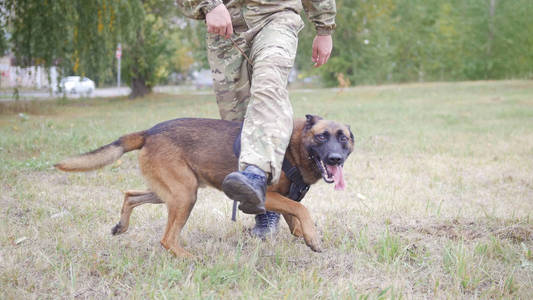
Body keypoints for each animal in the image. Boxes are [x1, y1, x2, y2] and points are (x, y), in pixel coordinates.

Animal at [56, 115, 354, 258]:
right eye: (322, 137)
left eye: (343, 138)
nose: (335, 159)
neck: (295, 146)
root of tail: (149, 132)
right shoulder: (267, 195)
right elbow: (300, 210)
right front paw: (312, 237)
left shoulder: (284, 196)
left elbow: (294, 218)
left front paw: (306, 236)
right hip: (184, 195)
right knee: (167, 239)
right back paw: (188, 258)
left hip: (172, 192)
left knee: (130, 195)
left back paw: (121, 226)